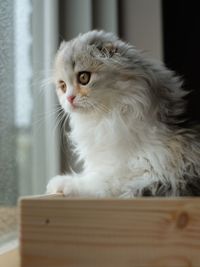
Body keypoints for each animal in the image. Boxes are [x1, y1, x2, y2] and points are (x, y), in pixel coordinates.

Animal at [46, 30, 200, 198]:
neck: (105, 118)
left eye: (83, 77)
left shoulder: (154, 171)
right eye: (62, 86)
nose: (69, 98)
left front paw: (63, 183)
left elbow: (104, 181)